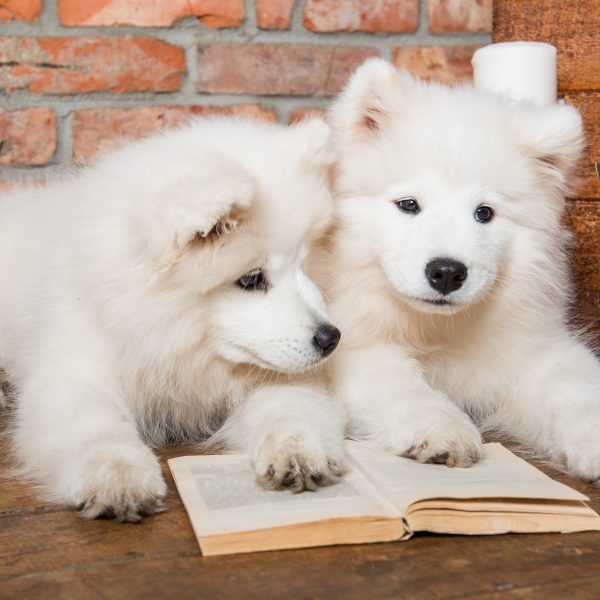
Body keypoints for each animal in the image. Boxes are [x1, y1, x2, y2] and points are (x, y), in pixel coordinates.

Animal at [0, 116, 344, 520]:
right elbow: (98, 425)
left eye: (303, 263)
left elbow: (290, 407)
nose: (331, 338)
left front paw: (299, 451)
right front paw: (120, 478)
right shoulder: (73, 373)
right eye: (251, 279)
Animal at [314, 59, 600, 482]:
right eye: (409, 204)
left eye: (484, 213)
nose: (447, 272)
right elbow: (401, 384)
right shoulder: (353, 347)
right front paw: (440, 428)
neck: (437, 329)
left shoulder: (530, 347)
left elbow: (573, 384)